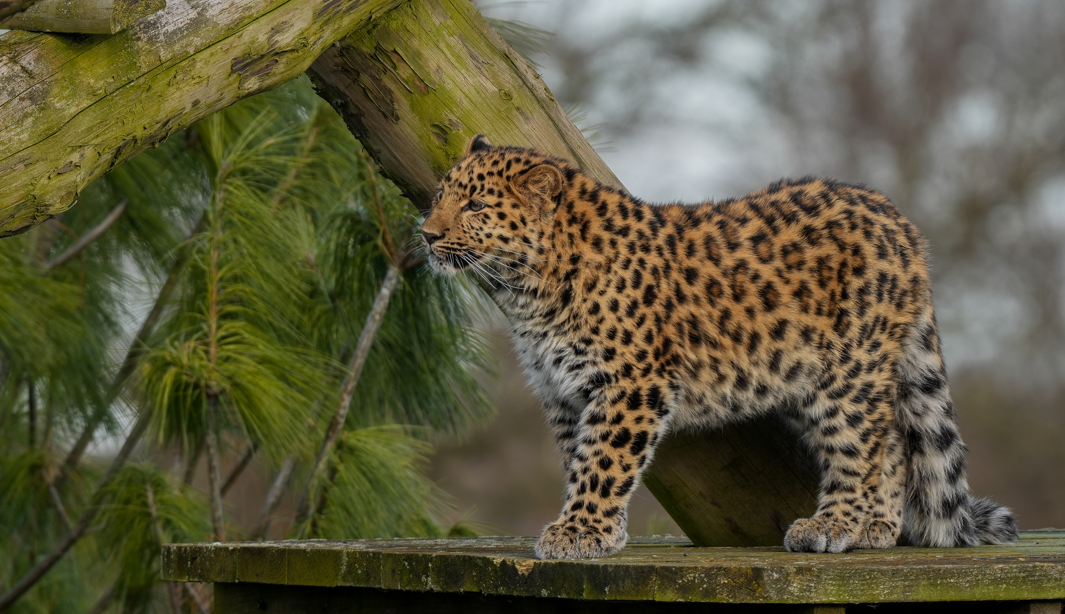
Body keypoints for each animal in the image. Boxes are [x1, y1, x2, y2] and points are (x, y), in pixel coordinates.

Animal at [419, 135, 1018, 561]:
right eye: (439, 197)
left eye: (475, 205)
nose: (426, 234)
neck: (527, 291)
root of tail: (898, 219)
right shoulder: (562, 392)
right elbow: (579, 459)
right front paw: (598, 530)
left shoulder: (630, 384)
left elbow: (605, 461)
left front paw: (580, 531)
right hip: (807, 376)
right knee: (890, 439)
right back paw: (876, 528)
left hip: (847, 372)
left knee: (861, 445)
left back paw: (834, 524)